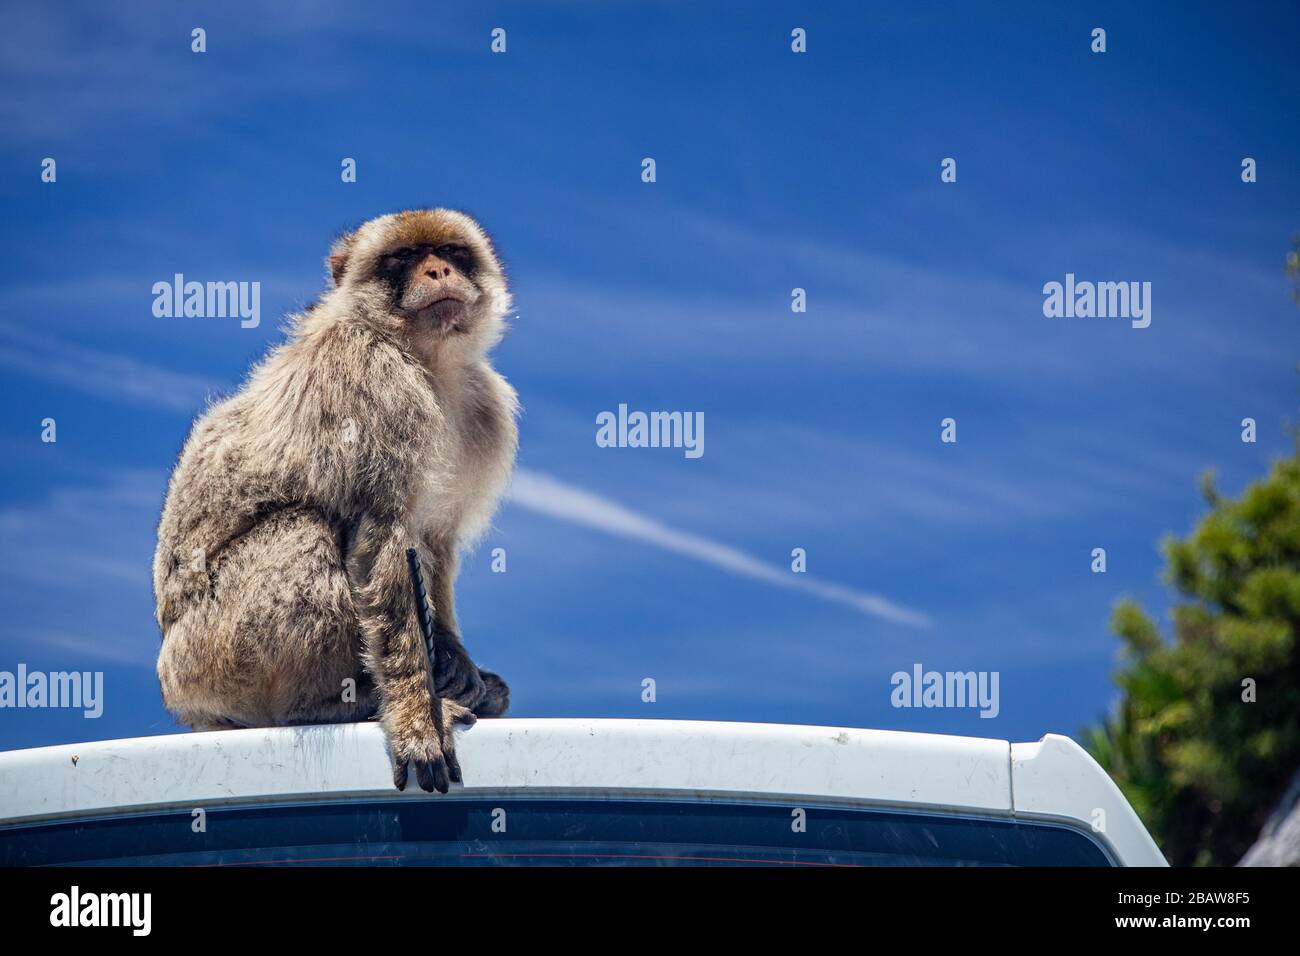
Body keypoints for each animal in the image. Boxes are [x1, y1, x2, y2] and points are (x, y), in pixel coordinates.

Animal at [152, 213, 517, 796]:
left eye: (449, 252)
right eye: (403, 257)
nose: (438, 272)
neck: (426, 361)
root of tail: (180, 697)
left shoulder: (485, 407)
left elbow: (434, 542)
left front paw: (455, 664)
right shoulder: (371, 382)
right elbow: (380, 536)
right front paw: (416, 717)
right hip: (210, 659)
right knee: (305, 529)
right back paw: (323, 704)